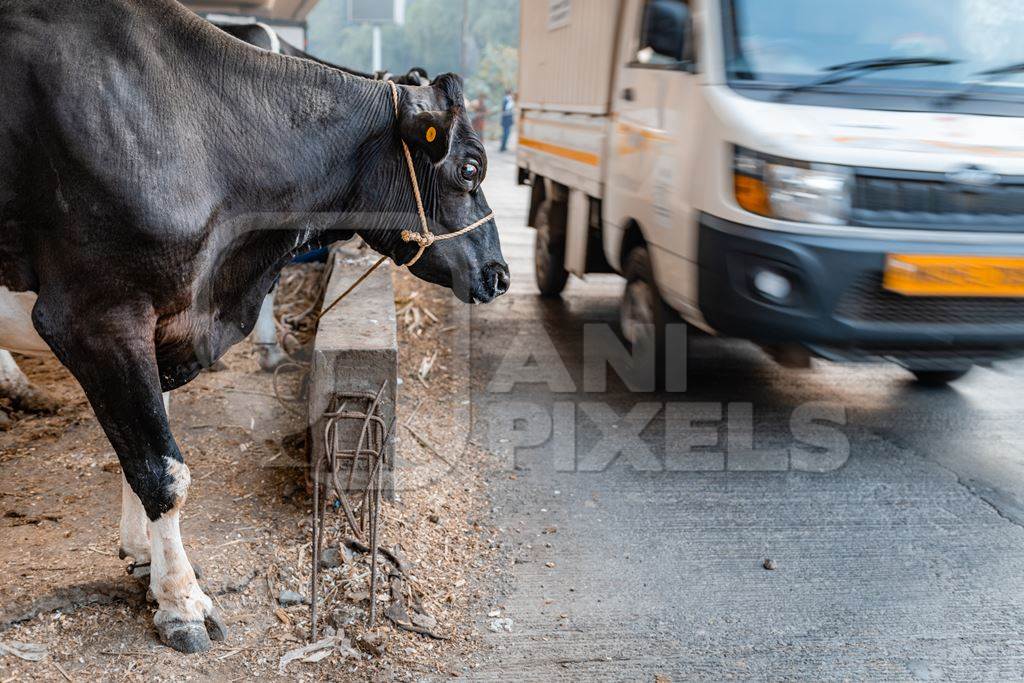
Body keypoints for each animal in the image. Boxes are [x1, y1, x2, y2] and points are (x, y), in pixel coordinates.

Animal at [0, 0, 509, 655]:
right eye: (470, 167)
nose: (500, 274)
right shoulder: (96, 315)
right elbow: (162, 470)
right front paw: (182, 603)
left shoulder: (165, 320)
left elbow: (142, 448)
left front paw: (143, 557)